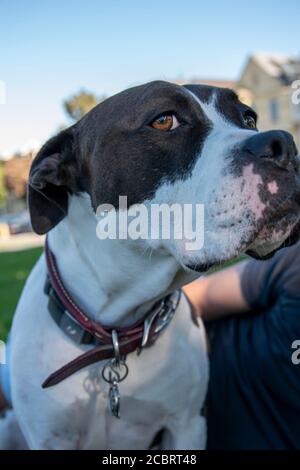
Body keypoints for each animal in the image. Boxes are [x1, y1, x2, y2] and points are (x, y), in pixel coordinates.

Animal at [0, 80, 300, 448]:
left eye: (249, 118)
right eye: (163, 120)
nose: (285, 144)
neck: (116, 328)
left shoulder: (187, 425)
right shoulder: (50, 439)